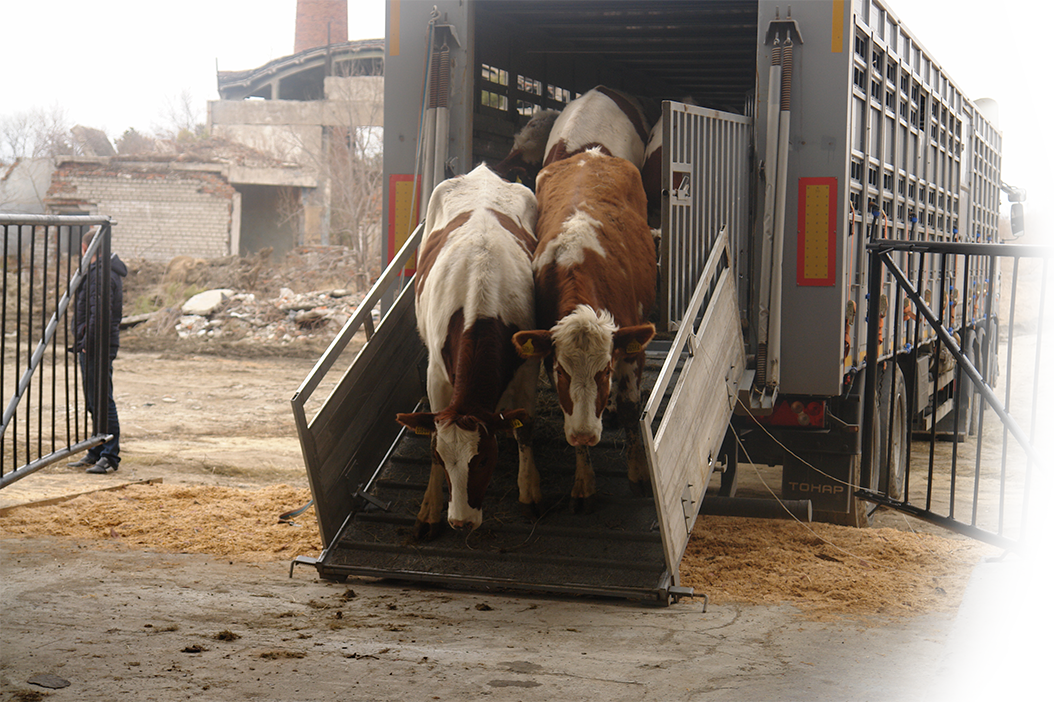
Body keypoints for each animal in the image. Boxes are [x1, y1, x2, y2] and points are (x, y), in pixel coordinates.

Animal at [396, 164, 543, 535]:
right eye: (442, 458)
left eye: (484, 459)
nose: (460, 522)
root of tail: (484, 171)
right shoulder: (436, 375)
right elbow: (432, 431)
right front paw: (429, 509)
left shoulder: (527, 368)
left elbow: (526, 428)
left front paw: (529, 492)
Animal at [512, 147, 653, 508]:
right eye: (561, 371)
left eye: (605, 371)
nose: (586, 434)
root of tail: (590, 154)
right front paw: (584, 483)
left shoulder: (631, 352)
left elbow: (631, 408)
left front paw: (639, 474)